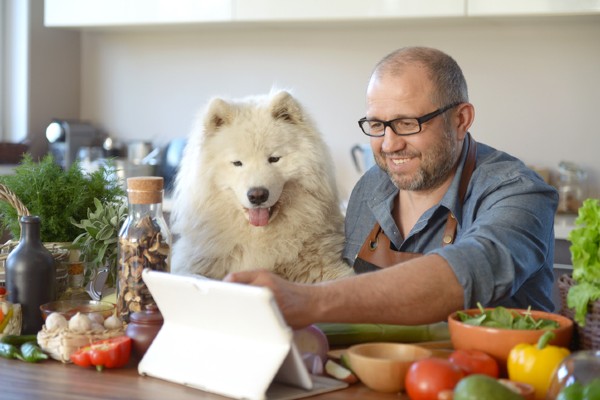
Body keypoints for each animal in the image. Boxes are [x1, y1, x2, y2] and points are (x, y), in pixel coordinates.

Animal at [169, 91, 354, 284]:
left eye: (274, 159)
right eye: (237, 163)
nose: (257, 195)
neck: (258, 238)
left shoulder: (326, 267)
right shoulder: (189, 263)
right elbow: (192, 276)